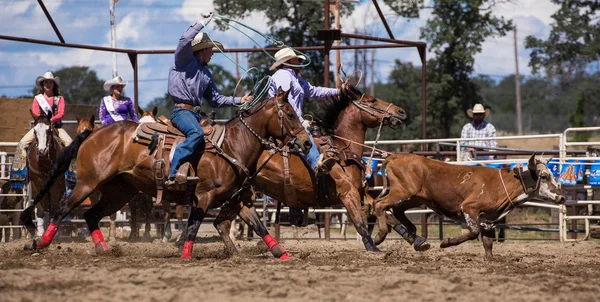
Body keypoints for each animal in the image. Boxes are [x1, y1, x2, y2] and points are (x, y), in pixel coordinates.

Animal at [21, 90, 312, 260]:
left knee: (91, 215)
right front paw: (185, 255)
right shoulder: (203, 197)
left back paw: (103, 249)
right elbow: (193, 225)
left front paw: (282, 253)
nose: (307, 143)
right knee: (62, 210)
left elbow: (259, 225)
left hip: (119, 191)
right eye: (289, 114)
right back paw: (39, 244)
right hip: (87, 184)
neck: (231, 145)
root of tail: (92, 133)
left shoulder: (238, 199)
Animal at [210, 85, 408, 252]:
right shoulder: (348, 194)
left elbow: (383, 211)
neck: (342, 151)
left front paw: (409, 236)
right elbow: (360, 223)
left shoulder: (360, 193)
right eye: (373, 100)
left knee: (223, 223)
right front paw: (374, 247)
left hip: (240, 194)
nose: (401, 111)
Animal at [372, 155, 564, 260]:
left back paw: (415, 238)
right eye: (544, 176)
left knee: (396, 210)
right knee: (379, 205)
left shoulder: (489, 219)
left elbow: (488, 243)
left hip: (413, 198)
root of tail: (396, 156)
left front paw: (490, 261)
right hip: (402, 192)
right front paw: (446, 242)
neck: (501, 185)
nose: (561, 197)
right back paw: (380, 235)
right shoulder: (469, 208)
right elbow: (473, 232)